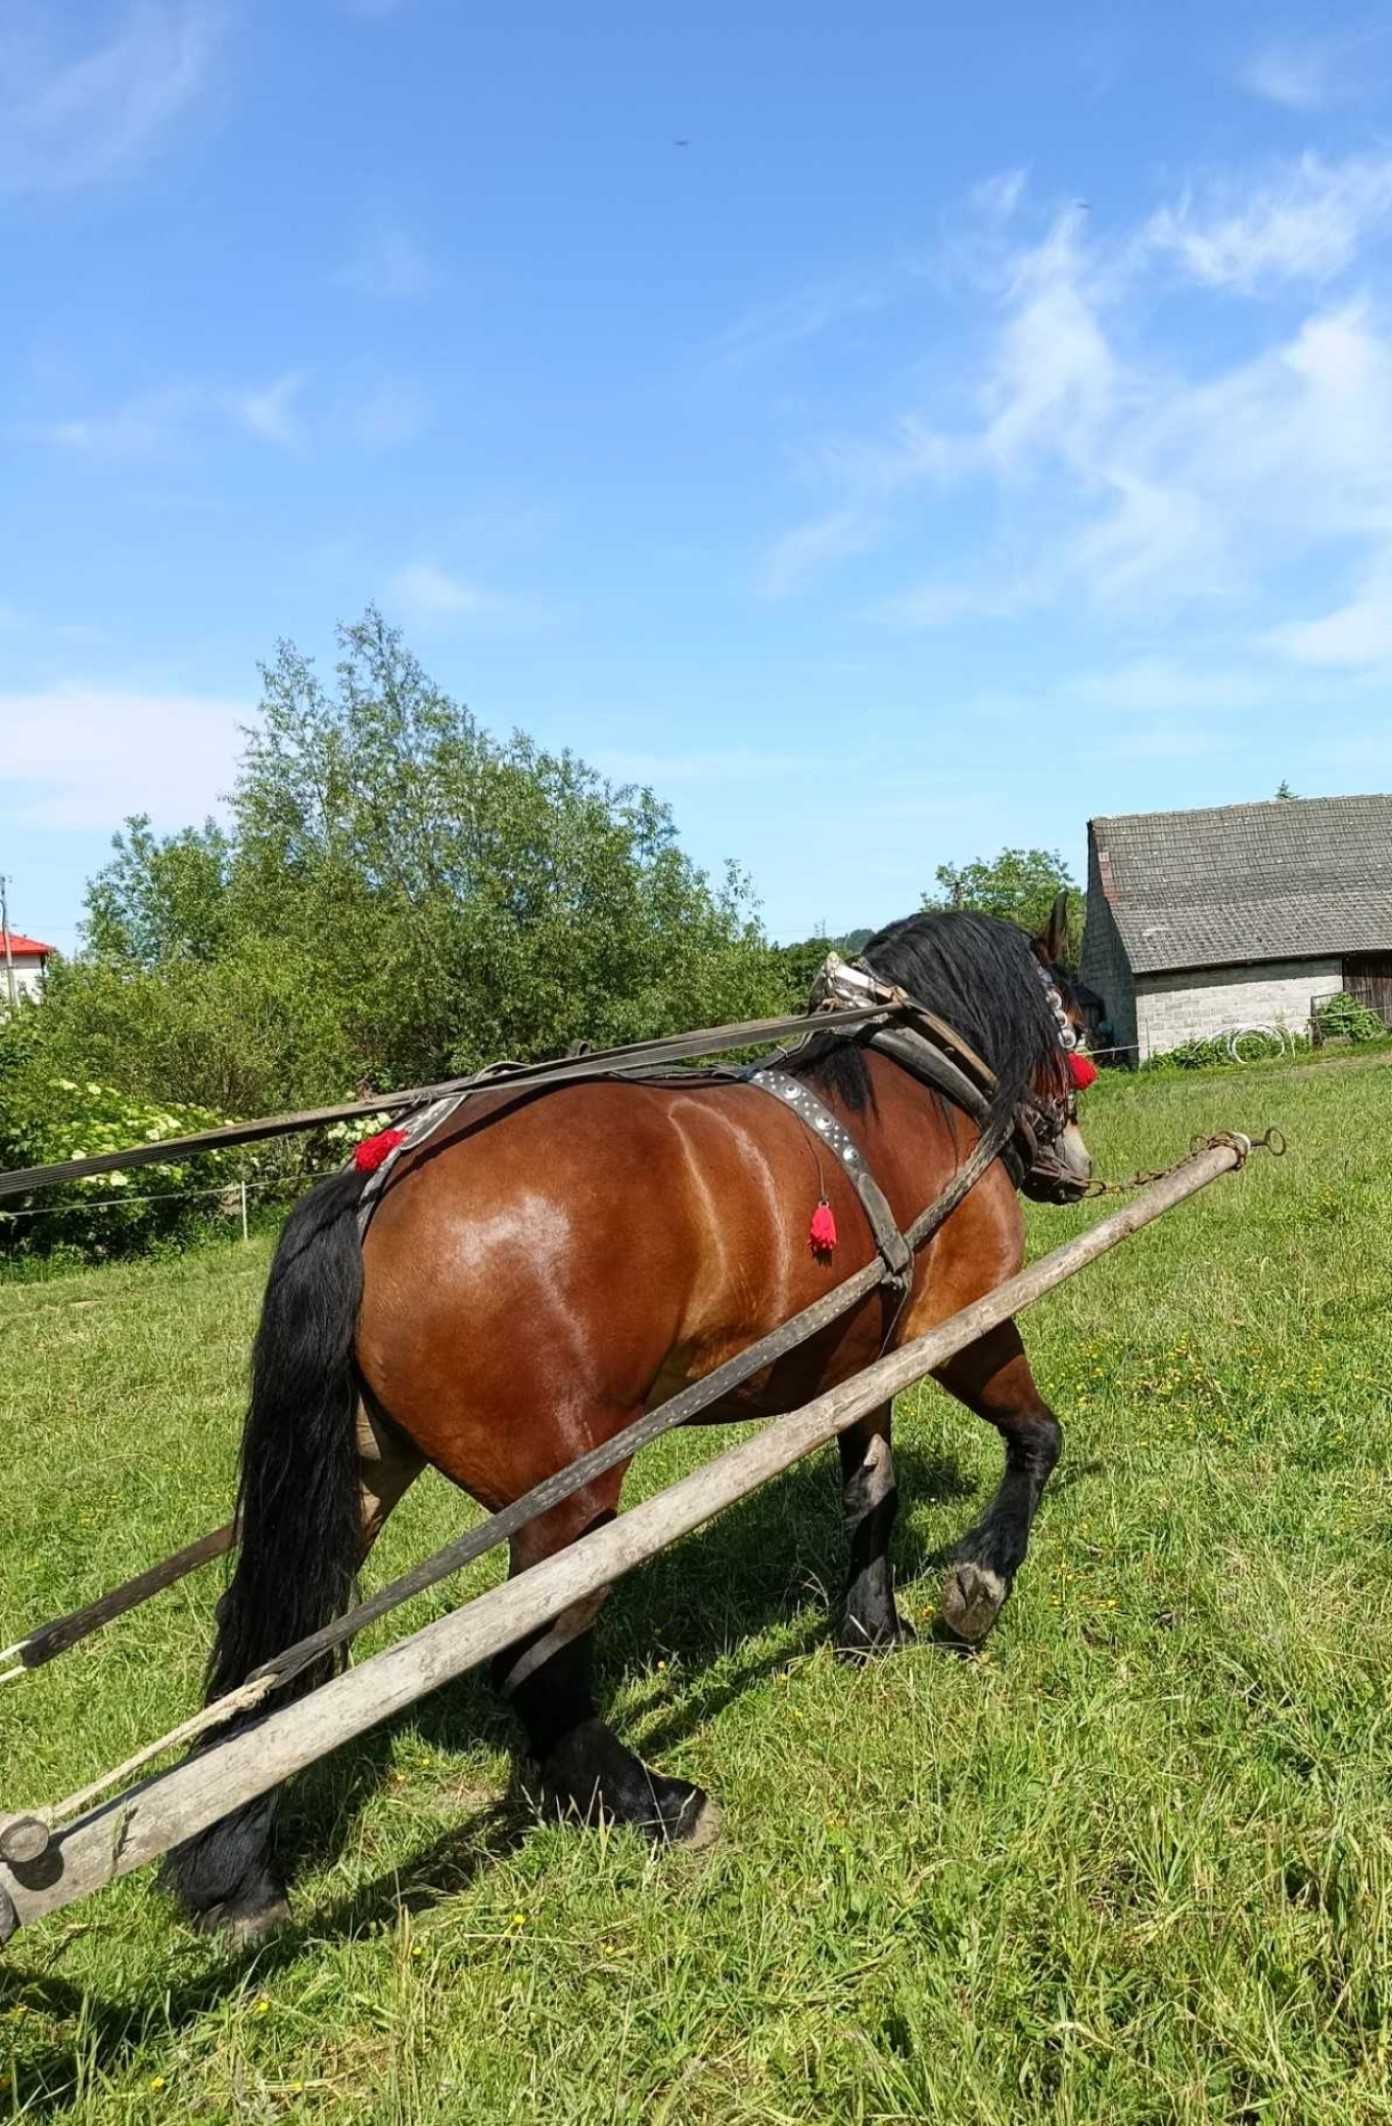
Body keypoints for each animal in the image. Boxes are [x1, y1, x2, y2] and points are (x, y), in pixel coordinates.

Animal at [163, 897, 1096, 1947]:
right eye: (1074, 1022)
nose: (1073, 1166)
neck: (912, 1090)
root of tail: (378, 1180)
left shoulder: (863, 1362)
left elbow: (873, 1493)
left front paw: (870, 1627)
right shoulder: (961, 1320)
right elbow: (1036, 1438)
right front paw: (977, 1583)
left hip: (364, 1474)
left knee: (280, 1650)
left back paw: (235, 1873)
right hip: (570, 1496)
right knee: (531, 1657)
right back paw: (646, 1799)